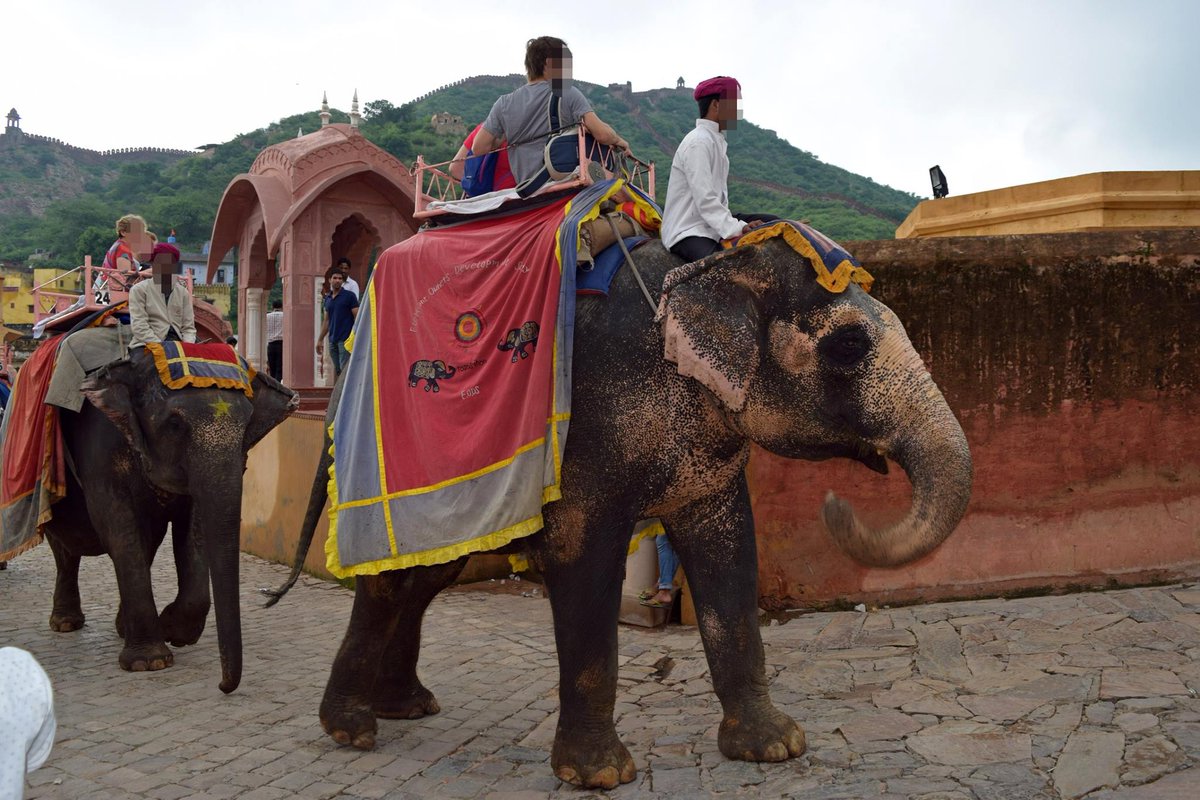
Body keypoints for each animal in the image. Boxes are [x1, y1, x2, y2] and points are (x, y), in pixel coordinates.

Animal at [42, 346, 296, 692]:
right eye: (174, 424)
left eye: (246, 427)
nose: (222, 686)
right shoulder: (99, 451)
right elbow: (117, 528)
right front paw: (149, 663)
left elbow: (194, 529)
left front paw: (175, 633)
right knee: (66, 549)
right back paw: (66, 624)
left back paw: (119, 628)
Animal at [268, 234, 972, 788]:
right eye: (849, 345)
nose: (835, 502)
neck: (711, 267)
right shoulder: (587, 434)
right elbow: (584, 558)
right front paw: (600, 775)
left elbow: (729, 554)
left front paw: (774, 747)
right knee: (392, 585)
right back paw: (353, 731)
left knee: (424, 579)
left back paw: (408, 708)